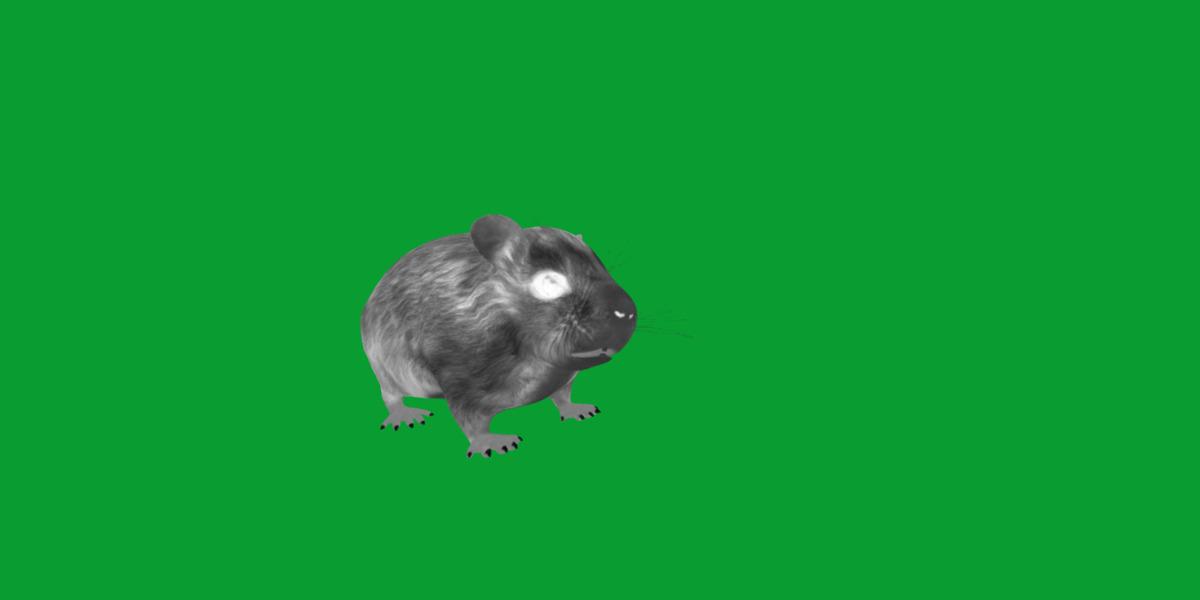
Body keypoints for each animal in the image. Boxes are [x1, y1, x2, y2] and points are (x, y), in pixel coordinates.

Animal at [361, 215, 637, 458]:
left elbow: (563, 396)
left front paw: (575, 409)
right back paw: (403, 414)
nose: (626, 312)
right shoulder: (461, 380)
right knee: (391, 396)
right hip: (385, 369)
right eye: (550, 282)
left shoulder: (562, 378)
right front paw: (490, 442)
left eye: (604, 268)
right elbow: (471, 420)